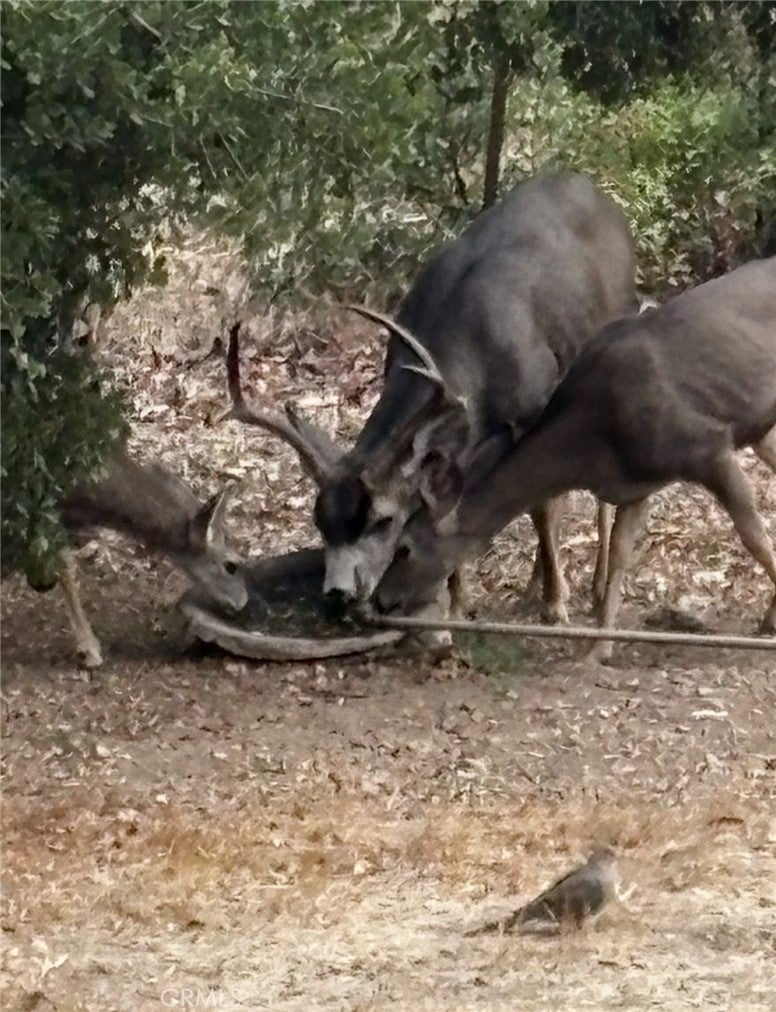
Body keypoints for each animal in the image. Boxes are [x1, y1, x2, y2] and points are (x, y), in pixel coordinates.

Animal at [223, 171, 639, 624]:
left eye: (383, 521)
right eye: (319, 520)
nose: (339, 593)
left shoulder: (534, 407)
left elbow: (543, 505)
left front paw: (555, 604)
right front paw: (455, 605)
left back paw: (591, 587)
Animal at [369, 257, 776, 662]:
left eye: (405, 547)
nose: (379, 600)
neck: (592, 444)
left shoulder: (707, 445)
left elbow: (754, 536)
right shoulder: (634, 485)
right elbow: (621, 554)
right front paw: (598, 647)